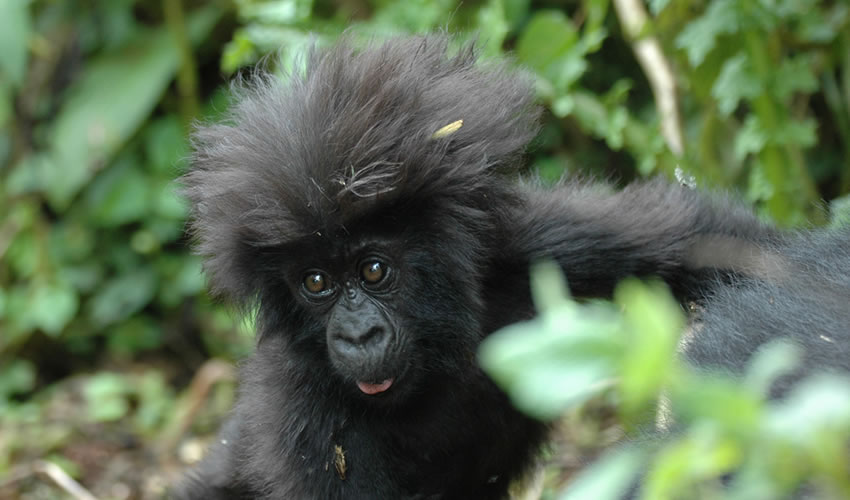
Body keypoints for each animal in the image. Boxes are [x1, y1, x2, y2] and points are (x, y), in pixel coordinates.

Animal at [176, 35, 848, 500]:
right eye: (314, 283)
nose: (357, 335)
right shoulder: (304, 406)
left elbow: (705, 242)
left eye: (373, 271)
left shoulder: (517, 249)